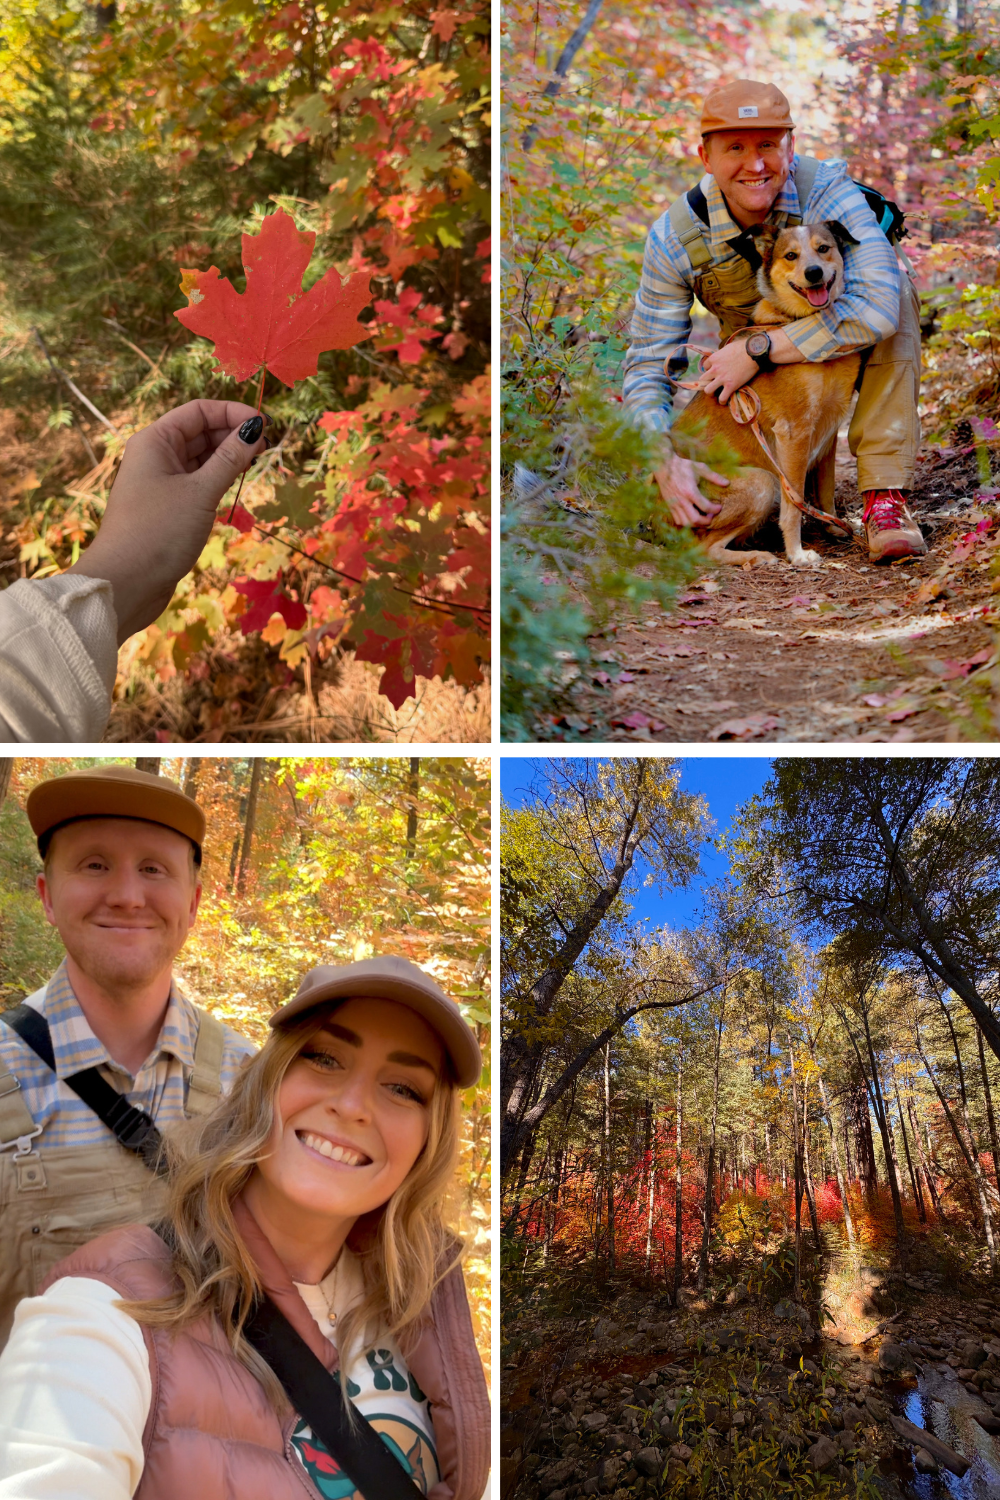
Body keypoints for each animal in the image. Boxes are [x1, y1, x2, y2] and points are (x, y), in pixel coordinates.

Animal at [677, 222, 863, 567]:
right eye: (790, 255)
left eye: (823, 248)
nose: (814, 273)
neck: (798, 321)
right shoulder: (794, 433)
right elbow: (795, 504)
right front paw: (797, 553)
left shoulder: (829, 432)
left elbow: (826, 490)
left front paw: (834, 526)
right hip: (761, 480)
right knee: (703, 549)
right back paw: (759, 556)